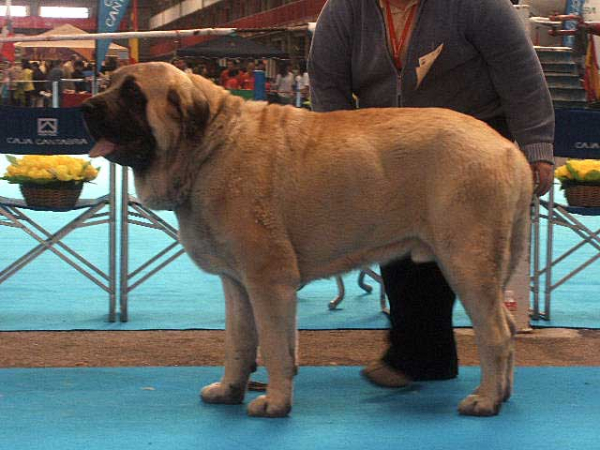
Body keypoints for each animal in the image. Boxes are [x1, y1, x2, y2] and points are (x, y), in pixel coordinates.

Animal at [82, 60, 532, 418]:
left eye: (133, 93)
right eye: (108, 83)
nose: (86, 106)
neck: (210, 147)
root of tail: (509, 150)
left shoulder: (268, 281)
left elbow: (274, 347)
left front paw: (275, 402)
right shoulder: (237, 283)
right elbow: (239, 342)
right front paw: (230, 389)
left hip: (466, 261)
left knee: (495, 333)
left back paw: (485, 400)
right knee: (507, 328)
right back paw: (504, 394)